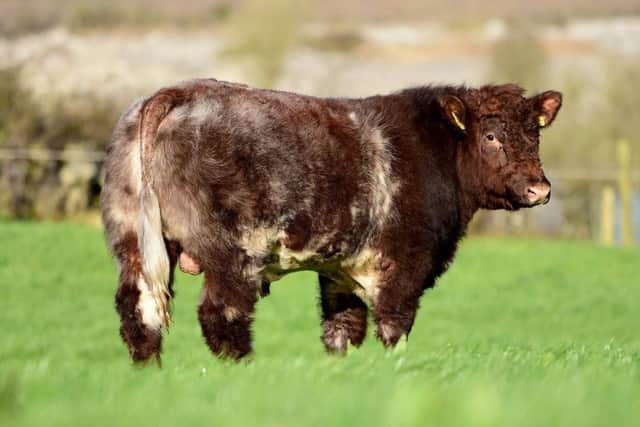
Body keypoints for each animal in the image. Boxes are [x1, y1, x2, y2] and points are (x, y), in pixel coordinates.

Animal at [101, 79, 562, 363]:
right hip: (233, 253)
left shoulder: (340, 271)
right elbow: (394, 328)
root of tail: (174, 93)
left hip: (133, 242)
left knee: (138, 312)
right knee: (222, 315)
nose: (539, 189)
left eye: (535, 134)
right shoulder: (403, 265)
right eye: (491, 136)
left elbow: (341, 331)